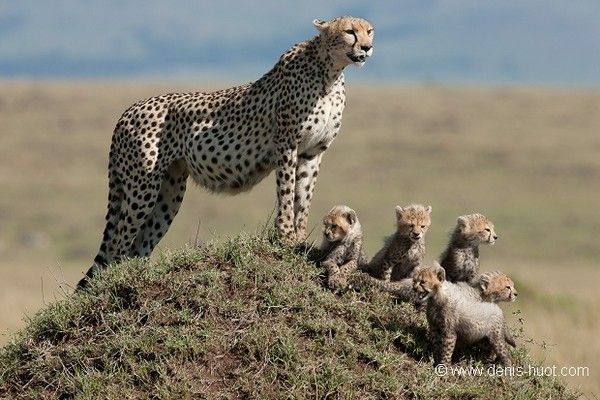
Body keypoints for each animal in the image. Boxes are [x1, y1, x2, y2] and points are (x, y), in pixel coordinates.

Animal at [77, 16, 372, 288]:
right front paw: (287, 237)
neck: (330, 72)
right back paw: (117, 281)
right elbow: (287, 194)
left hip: (169, 192)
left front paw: (300, 238)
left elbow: (303, 197)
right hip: (142, 188)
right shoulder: (287, 144)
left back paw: (140, 277)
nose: (367, 47)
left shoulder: (312, 152)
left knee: (139, 244)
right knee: (117, 243)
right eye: (349, 31)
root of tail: (128, 111)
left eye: (369, 31)